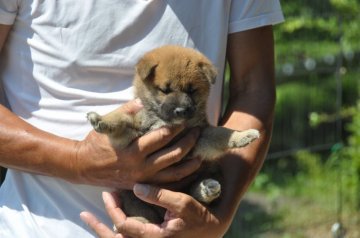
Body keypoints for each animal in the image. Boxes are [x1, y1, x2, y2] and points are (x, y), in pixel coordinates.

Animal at [88, 45, 260, 223]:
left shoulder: (199, 135)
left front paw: (244, 135)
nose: (181, 110)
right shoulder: (133, 133)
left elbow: (222, 133)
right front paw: (101, 119)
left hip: (209, 171)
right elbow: (121, 119)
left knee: (195, 193)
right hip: (133, 193)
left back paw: (208, 188)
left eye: (191, 91)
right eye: (165, 90)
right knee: (142, 212)